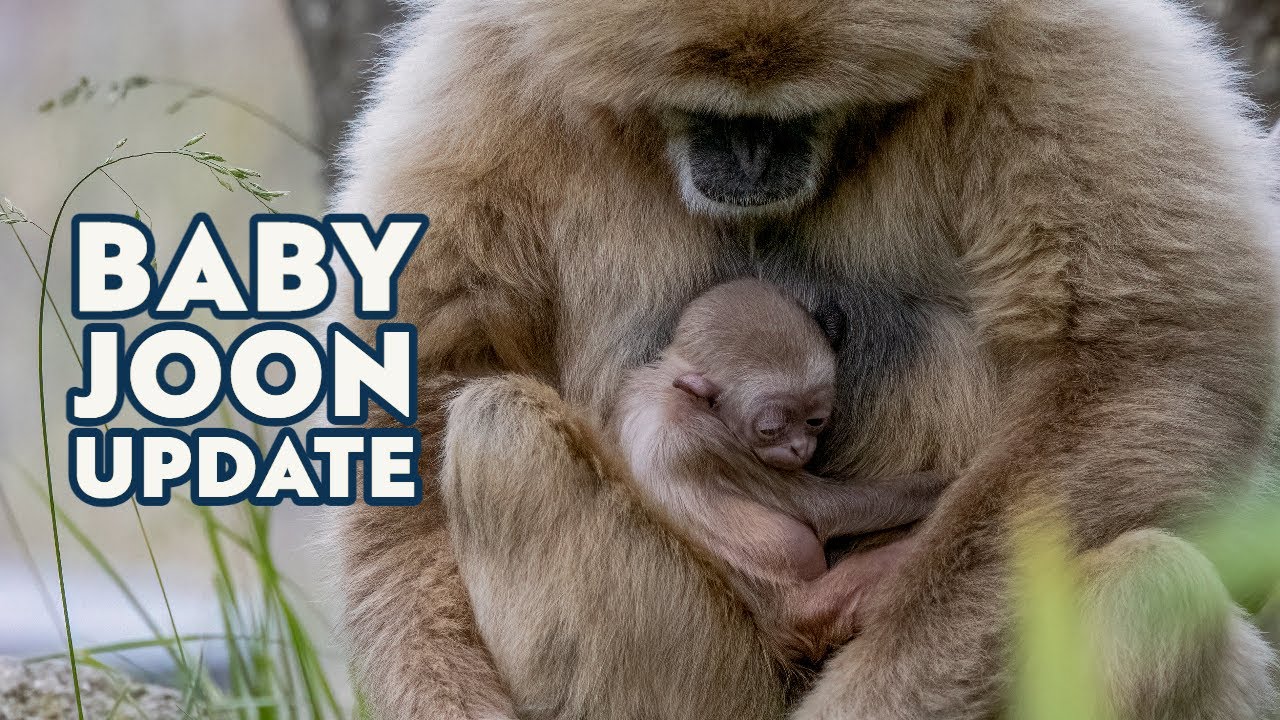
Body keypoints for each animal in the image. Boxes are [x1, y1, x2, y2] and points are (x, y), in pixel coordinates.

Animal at [614, 278, 947, 662]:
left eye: (815, 421)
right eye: (771, 429)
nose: (800, 447)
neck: (671, 390)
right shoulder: (702, 438)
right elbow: (827, 511)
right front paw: (945, 483)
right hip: (812, 610)